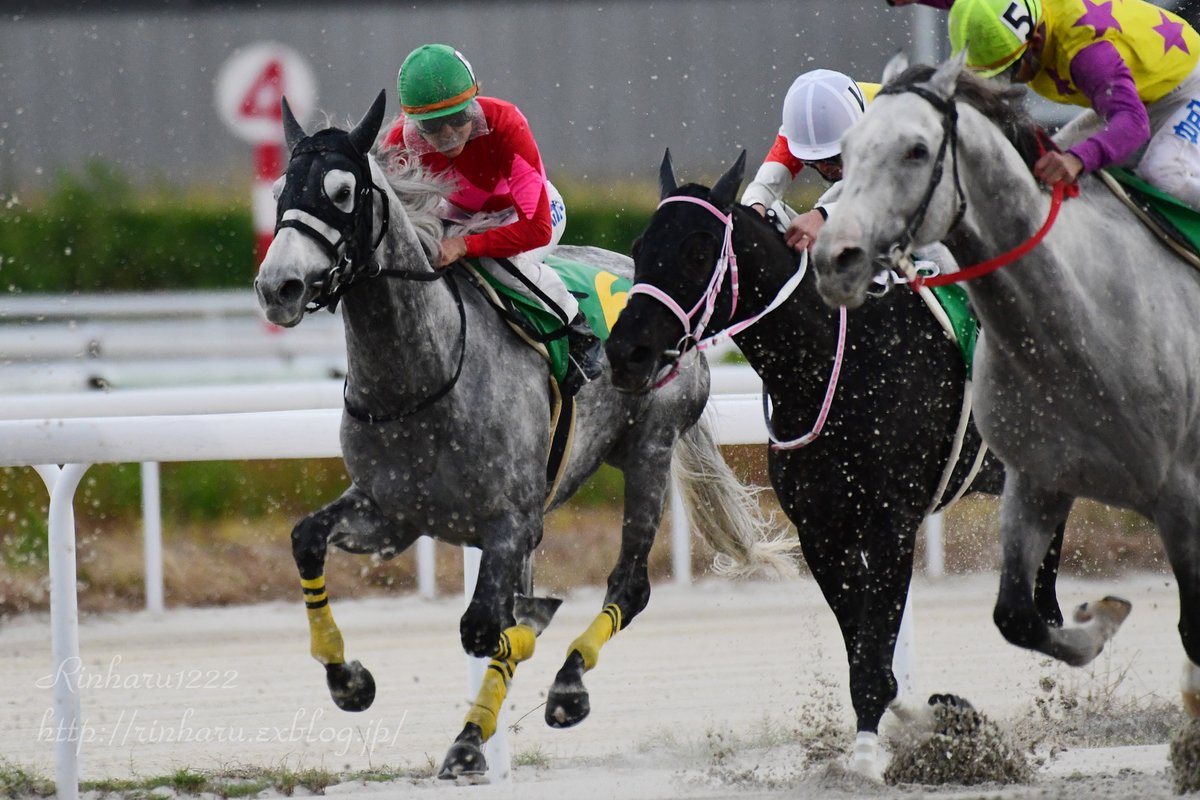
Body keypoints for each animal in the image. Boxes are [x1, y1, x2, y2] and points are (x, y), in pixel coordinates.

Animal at [253, 90, 796, 779]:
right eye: (279, 191)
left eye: (343, 191)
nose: (279, 287)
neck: (420, 377)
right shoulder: (392, 512)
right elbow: (306, 539)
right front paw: (349, 680)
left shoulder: (509, 521)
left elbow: (486, 627)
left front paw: (529, 641)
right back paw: (470, 734)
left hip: (649, 447)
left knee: (629, 585)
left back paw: (563, 688)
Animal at [603, 148, 1069, 776]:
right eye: (639, 246)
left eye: (698, 250)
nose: (625, 353)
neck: (839, 362)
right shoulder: (823, 530)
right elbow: (868, 656)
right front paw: (941, 722)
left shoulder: (893, 522)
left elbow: (874, 651)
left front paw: (870, 760)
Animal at [811, 55, 1200, 725]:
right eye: (850, 148)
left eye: (917, 149)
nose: (836, 258)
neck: (1081, 323)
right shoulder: (1039, 478)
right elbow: (1017, 616)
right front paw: (1100, 618)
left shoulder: (1183, 495)